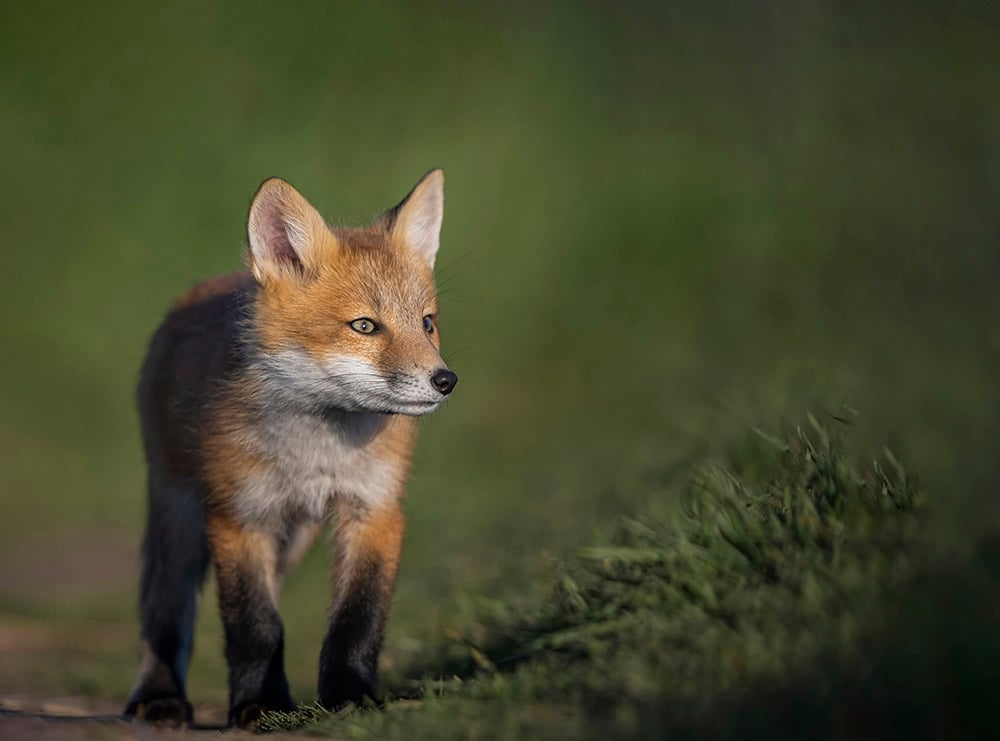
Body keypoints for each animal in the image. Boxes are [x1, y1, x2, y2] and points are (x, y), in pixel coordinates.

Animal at [122, 169, 460, 728]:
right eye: (364, 325)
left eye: (427, 323)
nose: (445, 380)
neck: (316, 455)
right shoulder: (240, 518)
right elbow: (255, 626)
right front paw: (259, 706)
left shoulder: (374, 510)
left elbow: (357, 620)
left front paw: (350, 697)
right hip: (181, 517)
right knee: (164, 610)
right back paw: (158, 696)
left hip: (292, 538)